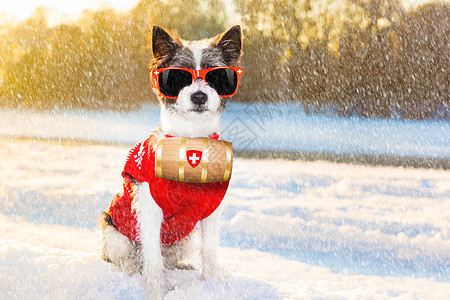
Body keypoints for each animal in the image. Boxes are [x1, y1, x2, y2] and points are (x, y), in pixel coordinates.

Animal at [99, 25, 243, 300]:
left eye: (215, 75)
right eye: (178, 76)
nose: (199, 96)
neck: (191, 139)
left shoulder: (211, 211)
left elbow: (210, 250)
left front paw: (212, 285)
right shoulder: (150, 209)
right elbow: (152, 257)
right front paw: (157, 291)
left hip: (184, 239)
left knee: (169, 259)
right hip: (114, 231)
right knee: (127, 258)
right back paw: (132, 269)